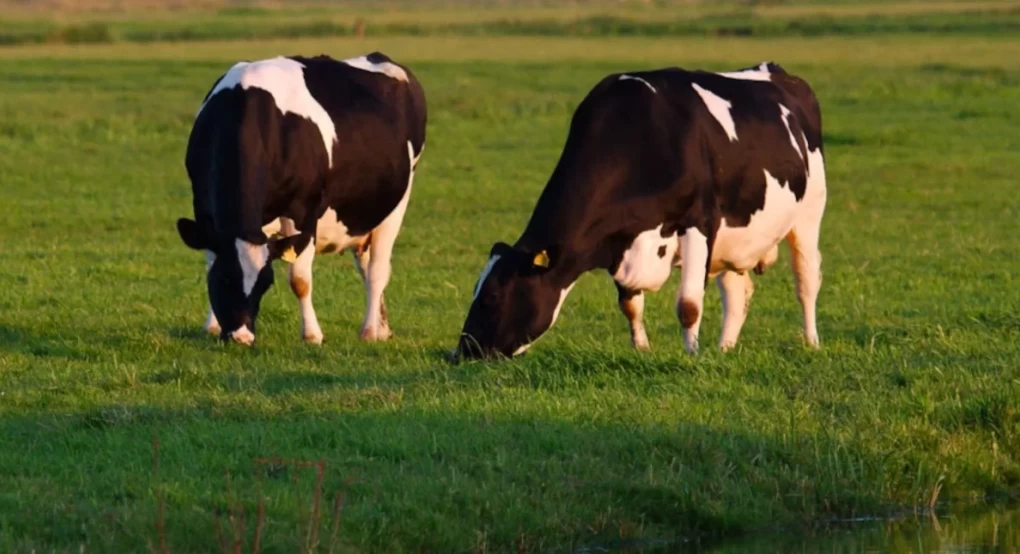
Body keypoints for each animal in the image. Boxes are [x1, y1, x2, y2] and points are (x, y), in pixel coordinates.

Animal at [175, 52, 426, 346]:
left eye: (265, 283)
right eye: (223, 279)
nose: (242, 337)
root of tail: (378, 57)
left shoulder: (303, 211)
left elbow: (300, 279)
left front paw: (312, 334)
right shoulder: (204, 208)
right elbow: (210, 259)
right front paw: (212, 325)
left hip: (397, 204)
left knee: (377, 270)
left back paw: (370, 331)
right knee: (366, 264)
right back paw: (382, 326)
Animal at [454, 62, 828, 361]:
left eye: (492, 296)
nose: (460, 353)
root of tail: (776, 71)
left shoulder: (699, 222)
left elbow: (689, 305)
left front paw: (691, 355)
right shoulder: (620, 241)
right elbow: (630, 304)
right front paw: (642, 349)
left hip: (808, 215)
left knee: (806, 281)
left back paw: (811, 342)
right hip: (735, 239)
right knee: (738, 293)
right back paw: (725, 348)